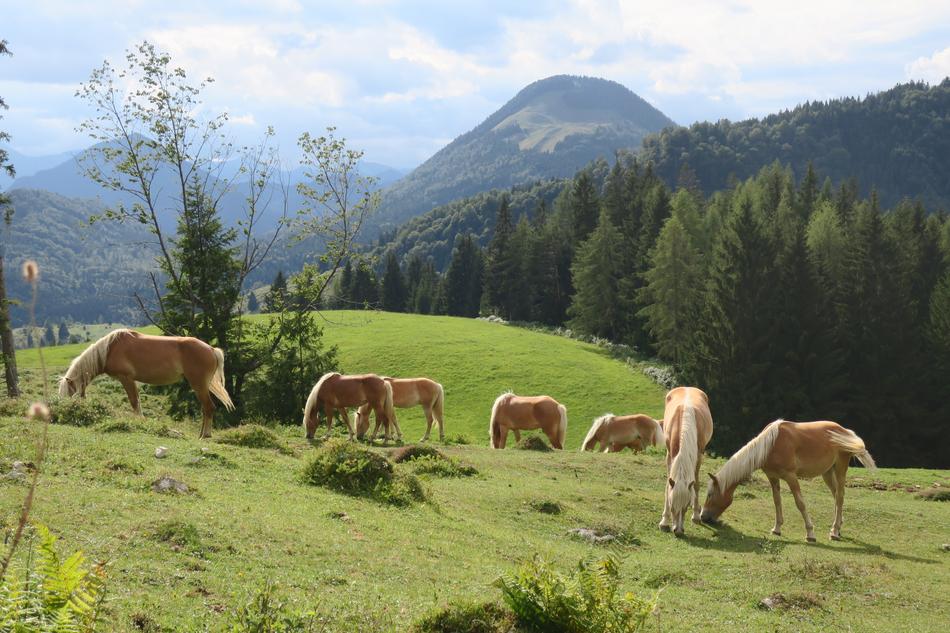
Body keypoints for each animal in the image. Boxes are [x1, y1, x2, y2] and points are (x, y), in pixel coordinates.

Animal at [58, 329, 234, 438]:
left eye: (70, 396)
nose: (65, 415)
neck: (109, 349)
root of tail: (211, 349)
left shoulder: (126, 378)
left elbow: (134, 402)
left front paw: (139, 423)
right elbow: (137, 401)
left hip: (199, 385)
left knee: (209, 407)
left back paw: (205, 435)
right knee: (205, 409)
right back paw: (201, 434)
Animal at [659, 386, 714, 535]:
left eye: (686, 506)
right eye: (672, 506)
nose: (678, 531)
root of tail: (688, 387)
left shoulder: (699, 456)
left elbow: (696, 484)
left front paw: (695, 515)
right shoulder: (669, 455)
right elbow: (668, 486)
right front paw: (664, 521)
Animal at [700, 420, 876, 542]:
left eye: (710, 494)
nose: (703, 517)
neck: (771, 445)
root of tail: (845, 431)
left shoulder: (791, 477)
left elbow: (800, 503)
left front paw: (810, 533)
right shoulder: (773, 478)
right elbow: (777, 501)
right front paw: (776, 529)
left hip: (840, 468)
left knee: (839, 496)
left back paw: (833, 532)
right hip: (827, 472)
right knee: (836, 496)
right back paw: (837, 528)